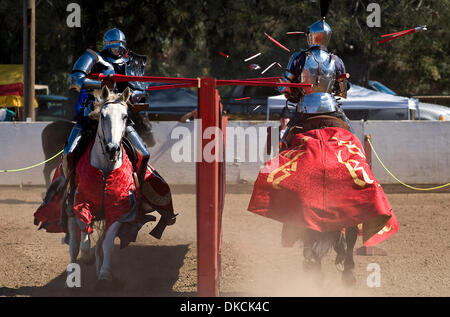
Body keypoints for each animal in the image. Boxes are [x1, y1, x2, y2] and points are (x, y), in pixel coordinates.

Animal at [66, 84, 132, 288]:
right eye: (103, 115)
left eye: (124, 116)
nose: (112, 149)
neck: (104, 171)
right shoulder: (80, 202)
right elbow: (84, 234)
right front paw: (86, 257)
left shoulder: (118, 210)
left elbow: (107, 244)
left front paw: (104, 274)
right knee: (74, 245)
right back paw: (71, 277)